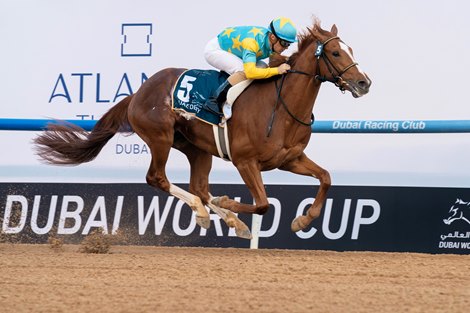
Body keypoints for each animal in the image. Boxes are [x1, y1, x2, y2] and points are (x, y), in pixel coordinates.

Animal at [34, 18, 370, 239]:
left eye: (352, 49)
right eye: (336, 53)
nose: (364, 82)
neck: (282, 106)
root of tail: (139, 91)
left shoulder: (289, 159)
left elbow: (325, 178)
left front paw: (303, 220)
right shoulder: (245, 161)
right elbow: (262, 204)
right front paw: (228, 203)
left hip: (196, 148)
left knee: (199, 186)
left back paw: (230, 221)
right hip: (160, 137)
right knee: (159, 178)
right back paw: (204, 211)